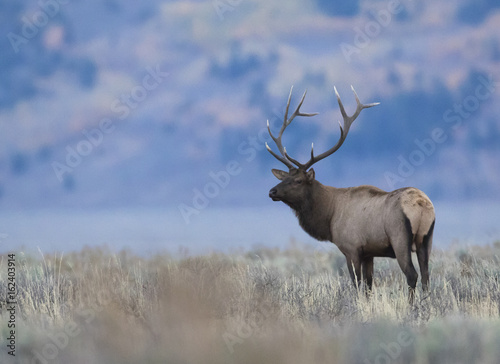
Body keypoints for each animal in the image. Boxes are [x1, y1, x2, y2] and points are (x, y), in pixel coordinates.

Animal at [266, 86, 434, 300]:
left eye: (298, 181)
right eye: (284, 177)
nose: (272, 191)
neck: (329, 216)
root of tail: (422, 205)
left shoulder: (351, 248)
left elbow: (357, 284)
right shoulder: (369, 252)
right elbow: (369, 285)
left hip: (400, 238)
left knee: (412, 275)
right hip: (426, 239)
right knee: (426, 275)